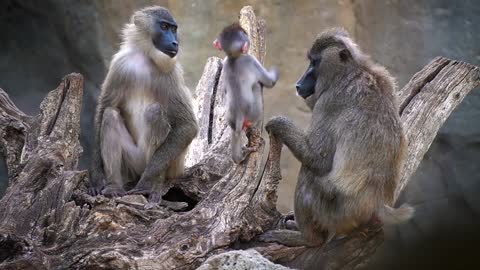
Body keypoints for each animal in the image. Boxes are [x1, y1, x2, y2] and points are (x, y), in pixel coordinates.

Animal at [213, 23, 278, 162]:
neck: (234, 57)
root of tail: (239, 114)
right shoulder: (250, 60)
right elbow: (269, 82)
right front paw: (274, 72)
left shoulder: (225, 62)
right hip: (254, 112)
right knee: (257, 87)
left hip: (231, 118)